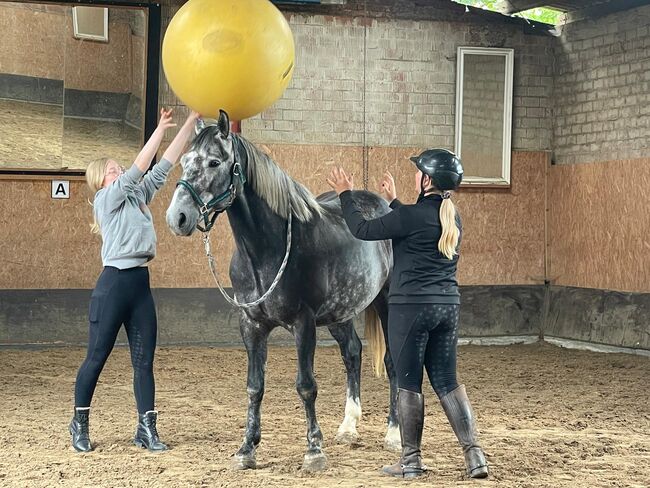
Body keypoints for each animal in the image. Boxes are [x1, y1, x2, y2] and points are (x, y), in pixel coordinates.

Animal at [166, 111, 400, 472]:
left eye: (214, 162)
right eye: (185, 161)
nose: (177, 217)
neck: (267, 250)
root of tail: (383, 205)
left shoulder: (303, 324)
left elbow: (306, 386)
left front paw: (314, 451)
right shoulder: (251, 325)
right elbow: (254, 387)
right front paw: (246, 449)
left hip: (386, 302)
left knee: (391, 362)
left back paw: (394, 435)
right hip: (340, 312)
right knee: (352, 353)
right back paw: (348, 428)